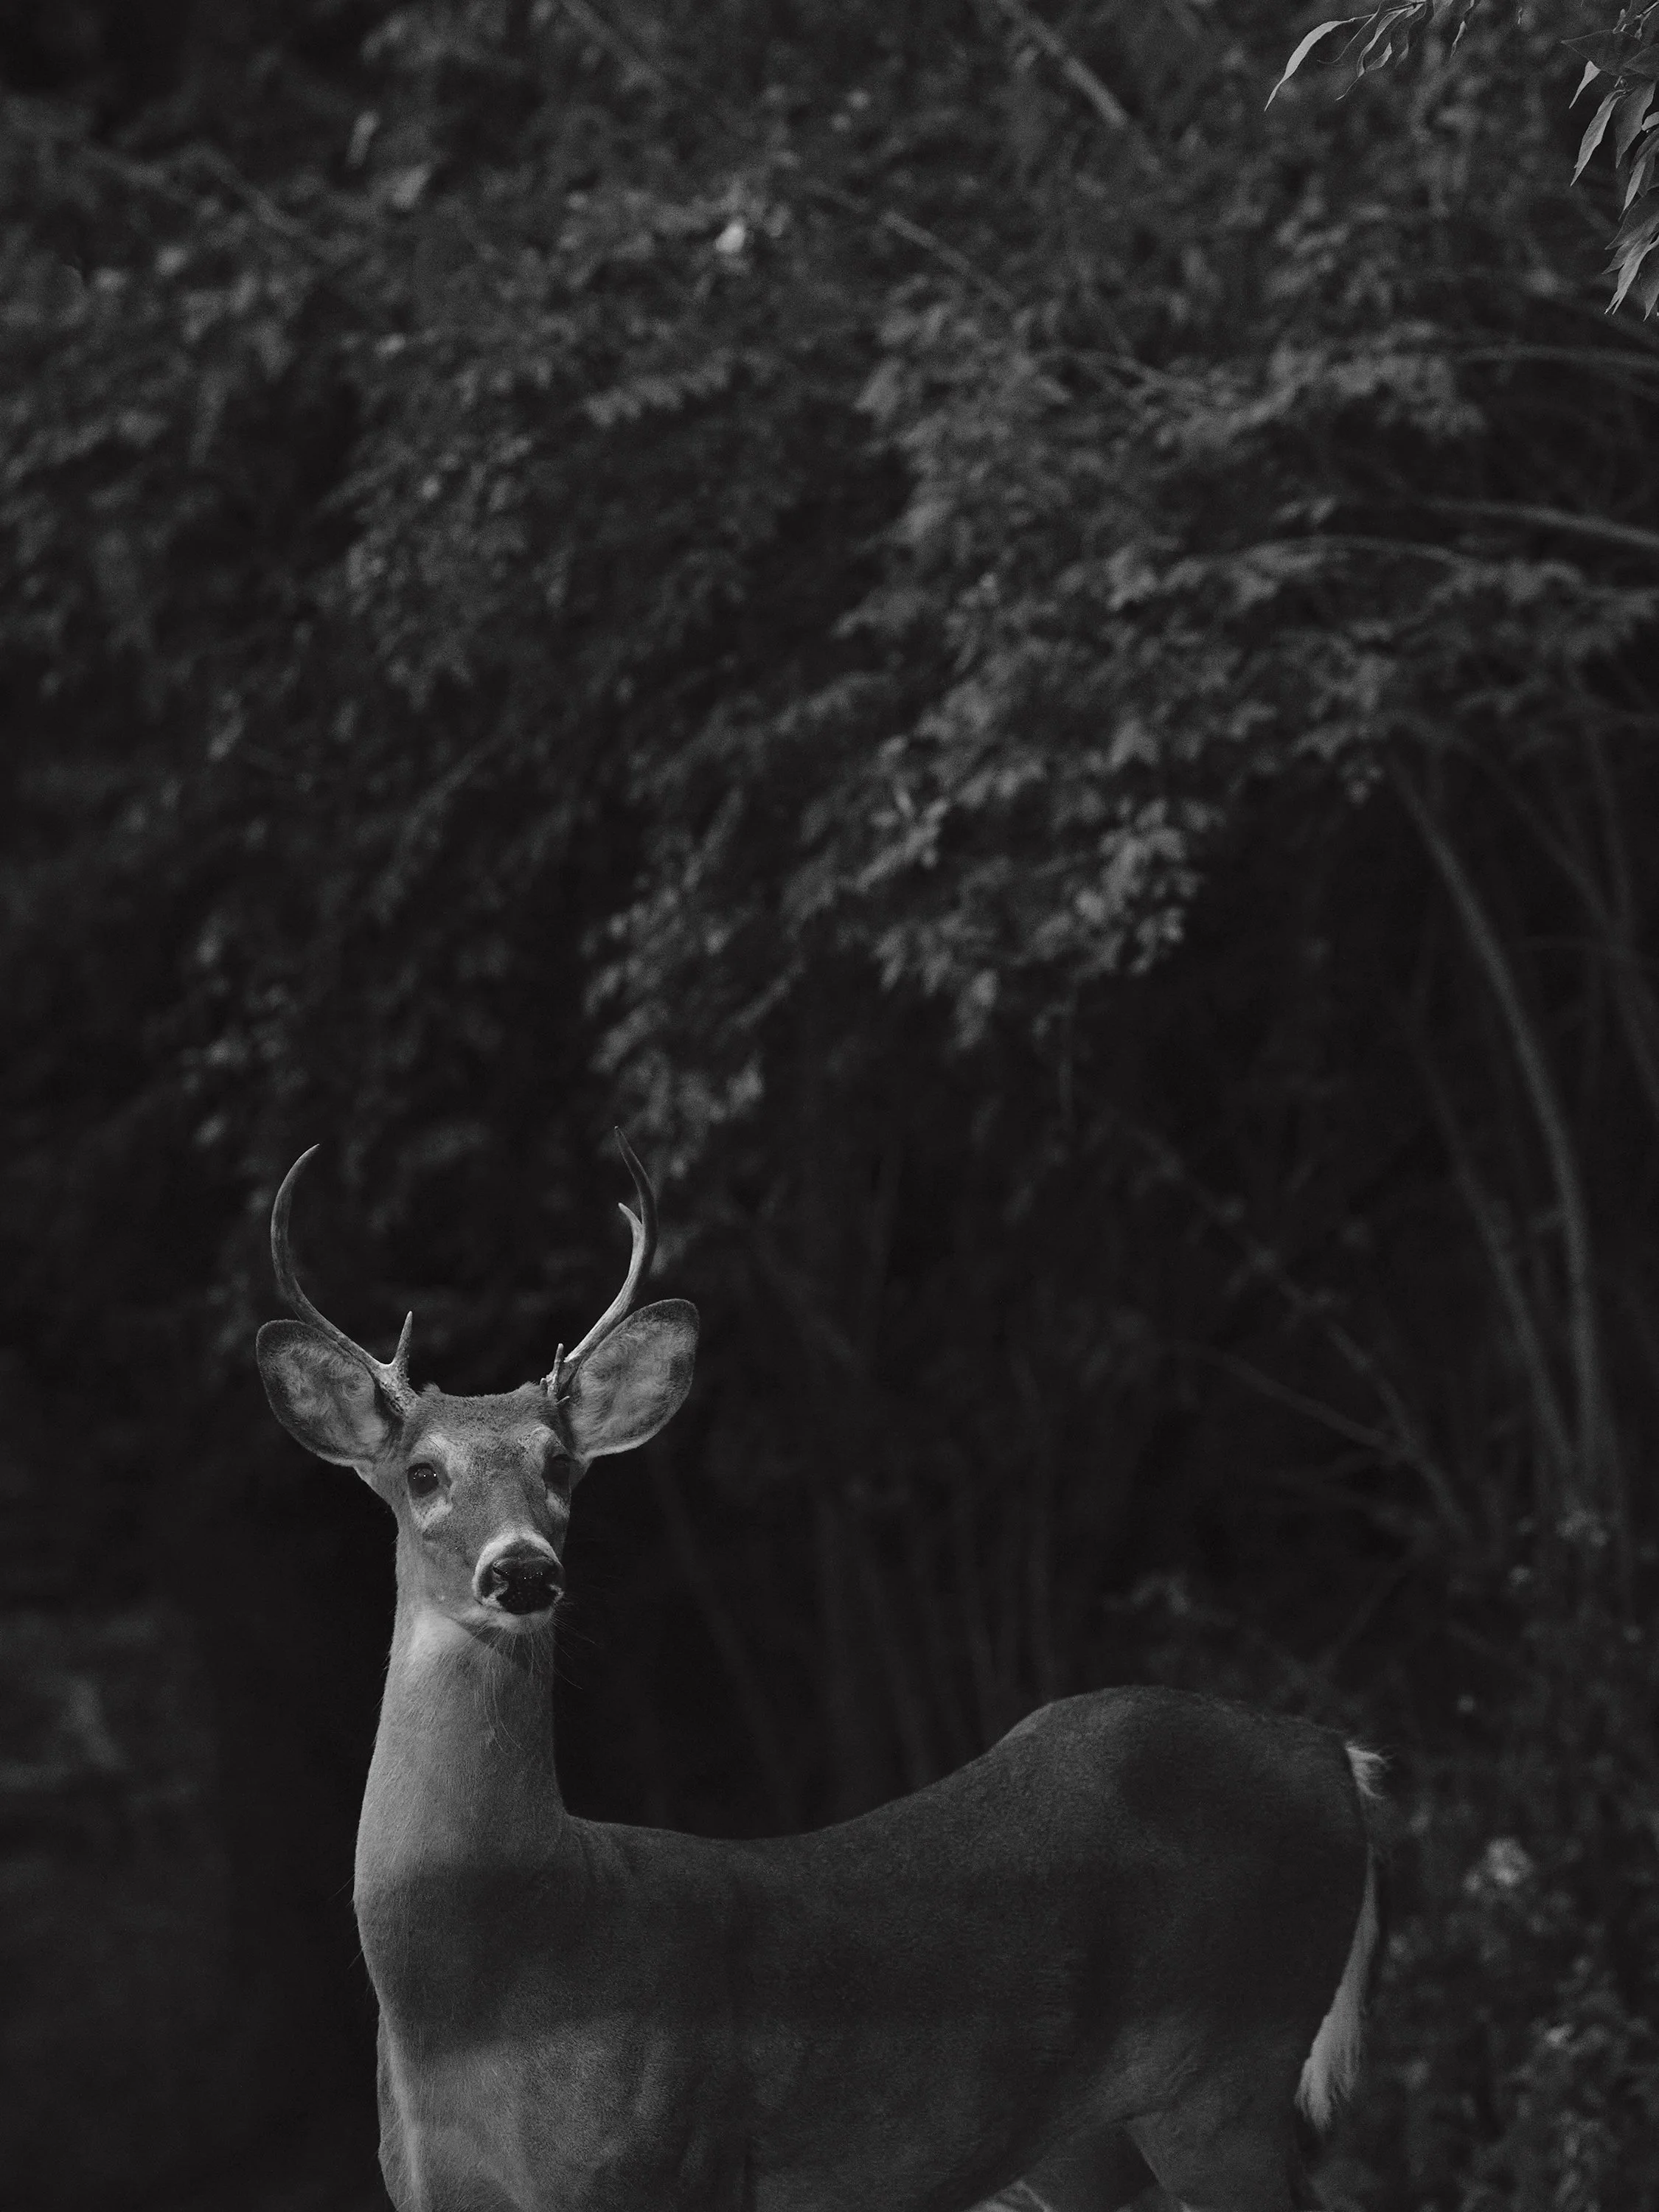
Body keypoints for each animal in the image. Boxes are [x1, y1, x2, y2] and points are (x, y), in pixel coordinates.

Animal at [256, 1134, 1384, 2212]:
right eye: (422, 1473)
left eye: (561, 1464)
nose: (524, 1570)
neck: (485, 1985)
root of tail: (1339, 1759)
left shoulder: (664, 2164)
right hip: (1095, 2148)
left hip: (1221, 2072)